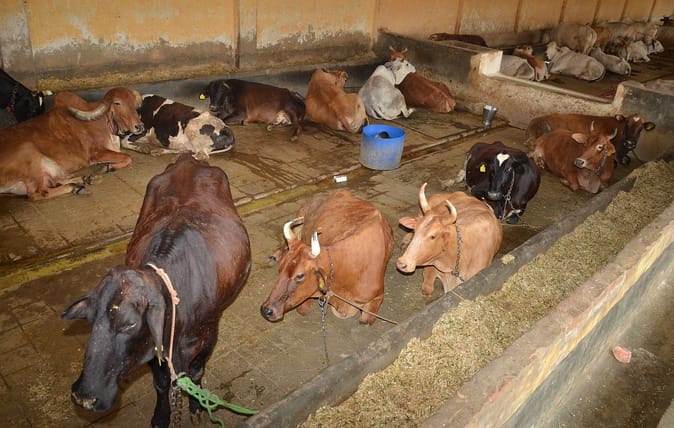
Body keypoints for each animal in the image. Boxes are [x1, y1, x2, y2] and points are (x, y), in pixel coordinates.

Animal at [0, 87, 144, 200]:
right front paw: (107, 167)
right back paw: (77, 187)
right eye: (117, 103)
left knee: (54, 181)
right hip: (29, 153)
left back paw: (85, 179)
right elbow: (128, 157)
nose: (139, 126)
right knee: (39, 193)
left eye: (133, 102)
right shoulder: (95, 154)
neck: (103, 122)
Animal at [61, 153, 251, 427]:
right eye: (89, 319)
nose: (84, 397)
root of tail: (188, 160)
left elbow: (196, 372)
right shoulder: (153, 346)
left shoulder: (209, 335)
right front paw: (161, 416)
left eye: (129, 323)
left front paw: (196, 406)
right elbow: (162, 383)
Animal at [261, 189, 394, 325]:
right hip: (300, 219)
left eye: (300, 276)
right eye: (280, 269)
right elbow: (304, 309)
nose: (266, 310)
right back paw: (274, 255)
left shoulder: (377, 296)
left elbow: (366, 320)